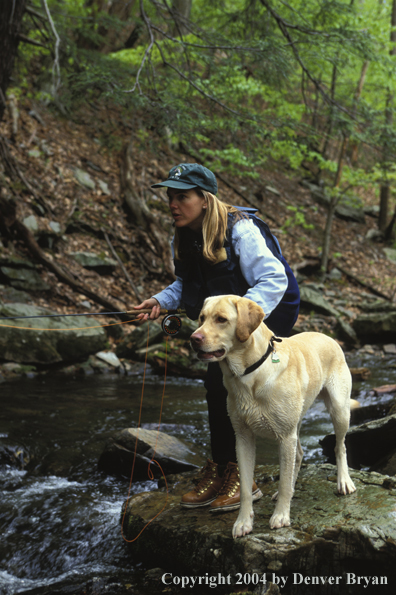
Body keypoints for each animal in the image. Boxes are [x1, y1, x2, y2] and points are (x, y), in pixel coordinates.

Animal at [189, 296, 356, 536]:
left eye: (221, 319)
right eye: (201, 318)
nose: (193, 339)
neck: (249, 372)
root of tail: (327, 336)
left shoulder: (284, 437)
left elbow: (284, 481)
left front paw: (281, 516)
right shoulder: (243, 438)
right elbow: (246, 487)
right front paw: (243, 522)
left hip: (338, 409)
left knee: (339, 446)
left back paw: (344, 481)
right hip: (297, 420)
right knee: (299, 454)